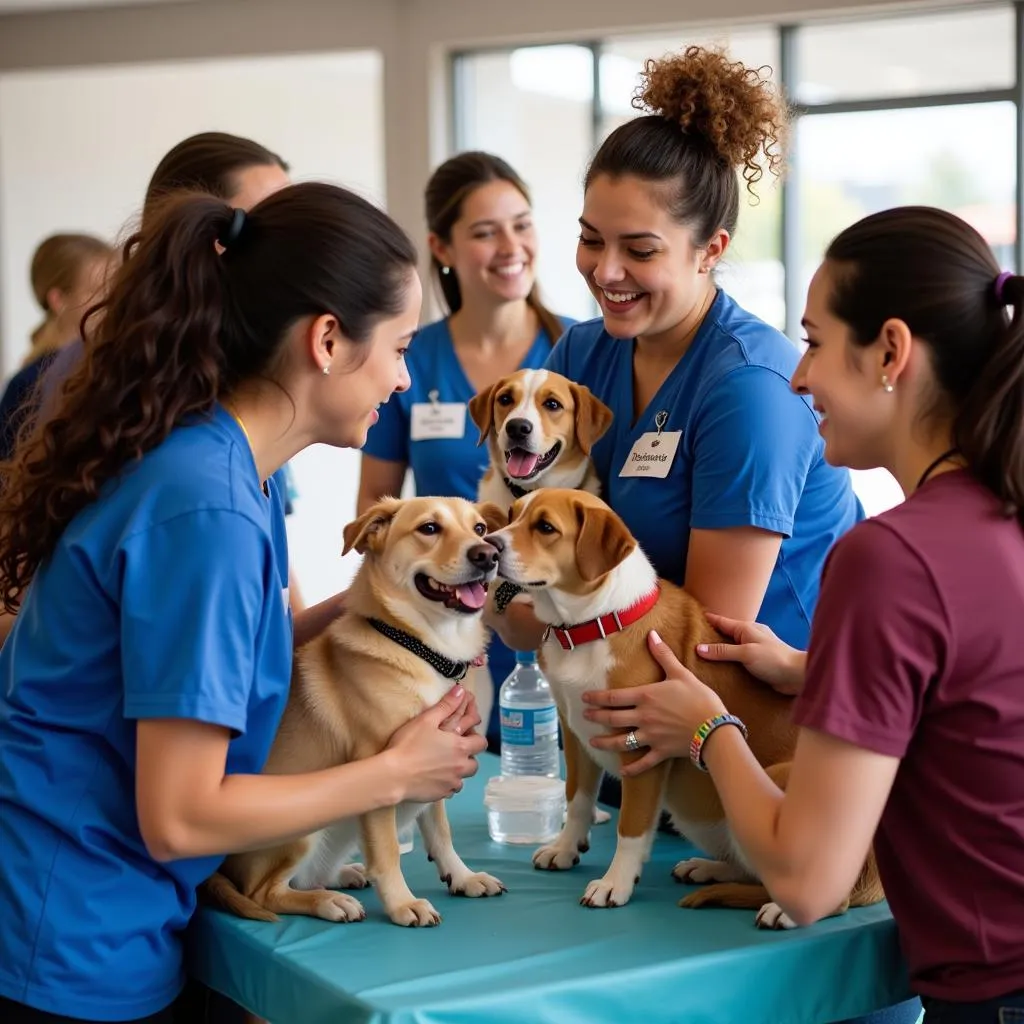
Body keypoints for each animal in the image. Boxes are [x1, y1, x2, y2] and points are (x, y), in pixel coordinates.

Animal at [203, 495, 507, 929]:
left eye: (480, 528)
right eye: (429, 528)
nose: (488, 554)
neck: (426, 650)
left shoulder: (440, 764)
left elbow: (441, 832)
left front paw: (462, 877)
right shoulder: (388, 770)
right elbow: (388, 852)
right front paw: (402, 904)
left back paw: (342, 876)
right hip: (302, 829)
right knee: (265, 893)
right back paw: (329, 901)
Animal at [483, 487, 884, 929]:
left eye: (546, 527)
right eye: (511, 515)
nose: (490, 545)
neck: (597, 623)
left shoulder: (640, 751)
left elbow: (631, 827)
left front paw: (616, 883)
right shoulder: (573, 734)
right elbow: (578, 799)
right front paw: (566, 847)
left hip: (780, 780)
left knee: (827, 895)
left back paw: (781, 908)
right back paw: (708, 868)